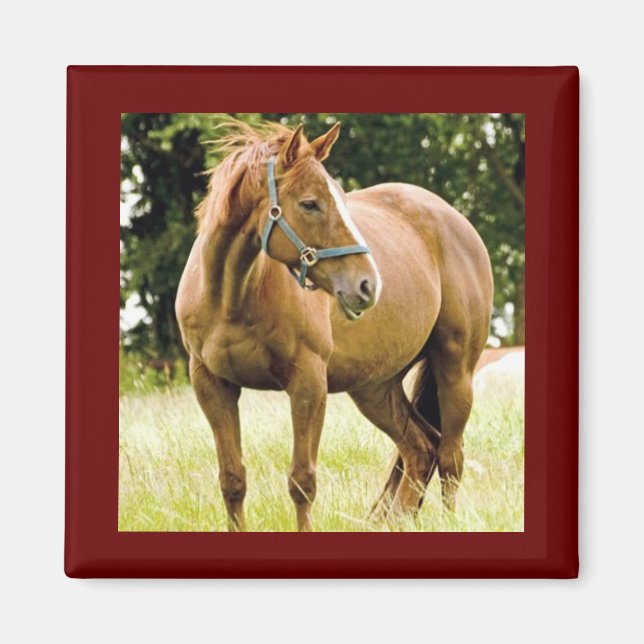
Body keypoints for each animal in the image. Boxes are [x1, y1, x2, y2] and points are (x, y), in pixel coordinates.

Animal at [175, 120, 493, 531]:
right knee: (420, 449)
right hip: (375, 388)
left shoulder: (308, 384)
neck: (234, 297)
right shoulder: (212, 384)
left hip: (455, 371)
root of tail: (455, 220)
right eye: (309, 203)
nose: (368, 285)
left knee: (450, 455)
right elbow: (232, 480)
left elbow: (302, 481)